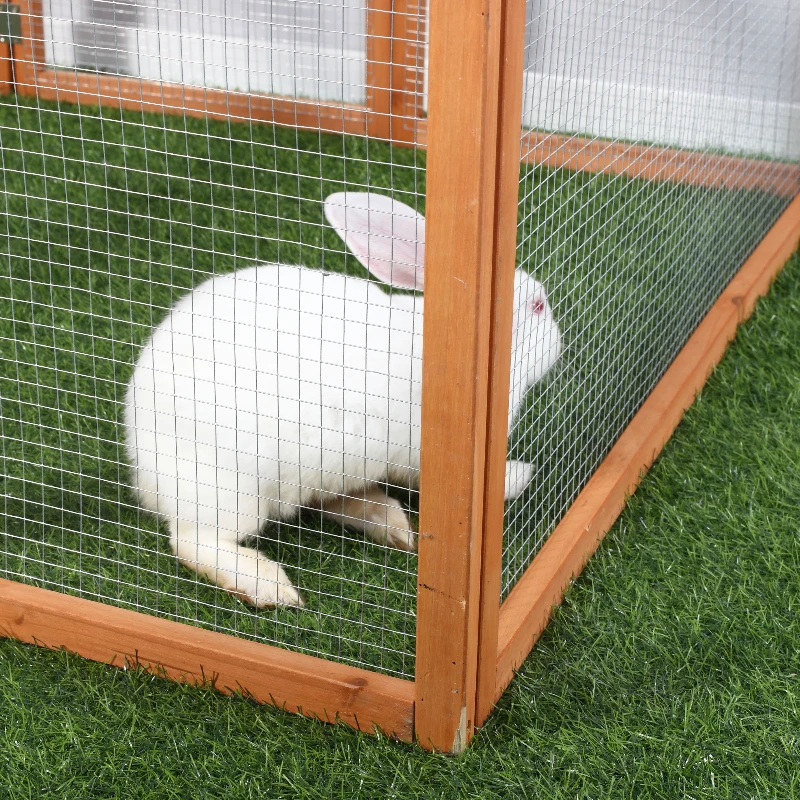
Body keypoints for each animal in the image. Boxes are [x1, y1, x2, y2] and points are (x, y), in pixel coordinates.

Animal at [123, 192, 561, 608]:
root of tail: (140, 463)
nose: (559, 341)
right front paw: (515, 480)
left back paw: (391, 525)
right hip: (230, 491)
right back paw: (270, 587)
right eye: (539, 307)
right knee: (191, 541)